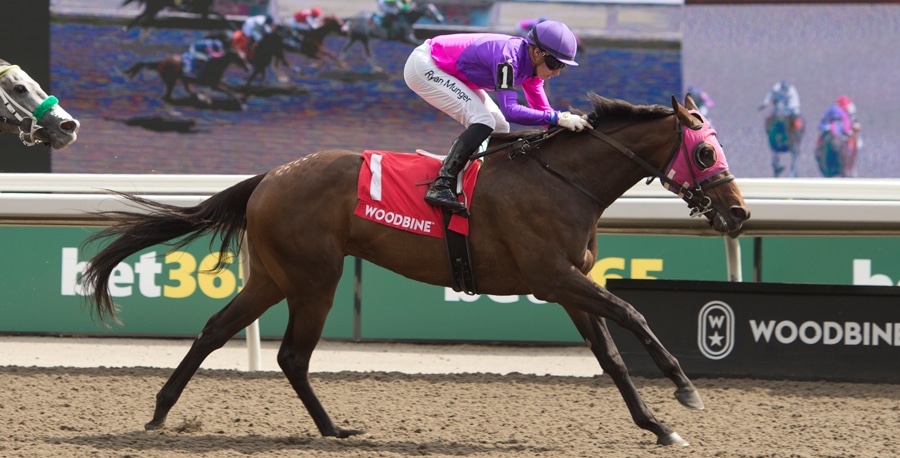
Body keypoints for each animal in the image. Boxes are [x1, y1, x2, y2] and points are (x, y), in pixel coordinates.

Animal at [81, 93, 750, 447]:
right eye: (706, 151)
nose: (740, 213)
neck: (564, 181)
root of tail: (271, 176)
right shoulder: (553, 278)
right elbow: (634, 313)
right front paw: (685, 390)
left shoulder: (568, 288)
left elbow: (611, 356)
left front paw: (657, 426)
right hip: (314, 279)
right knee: (291, 355)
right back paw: (333, 429)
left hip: (273, 276)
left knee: (217, 331)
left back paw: (163, 411)